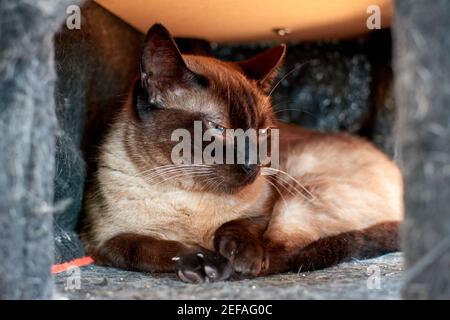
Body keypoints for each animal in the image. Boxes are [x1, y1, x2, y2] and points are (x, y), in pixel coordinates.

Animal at [81, 24, 404, 282]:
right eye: (217, 128)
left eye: (261, 132)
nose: (254, 165)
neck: (191, 201)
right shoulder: (104, 242)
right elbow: (152, 246)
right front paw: (202, 261)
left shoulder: (267, 205)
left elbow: (240, 225)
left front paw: (239, 257)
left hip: (297, 193)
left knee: (289, 252)